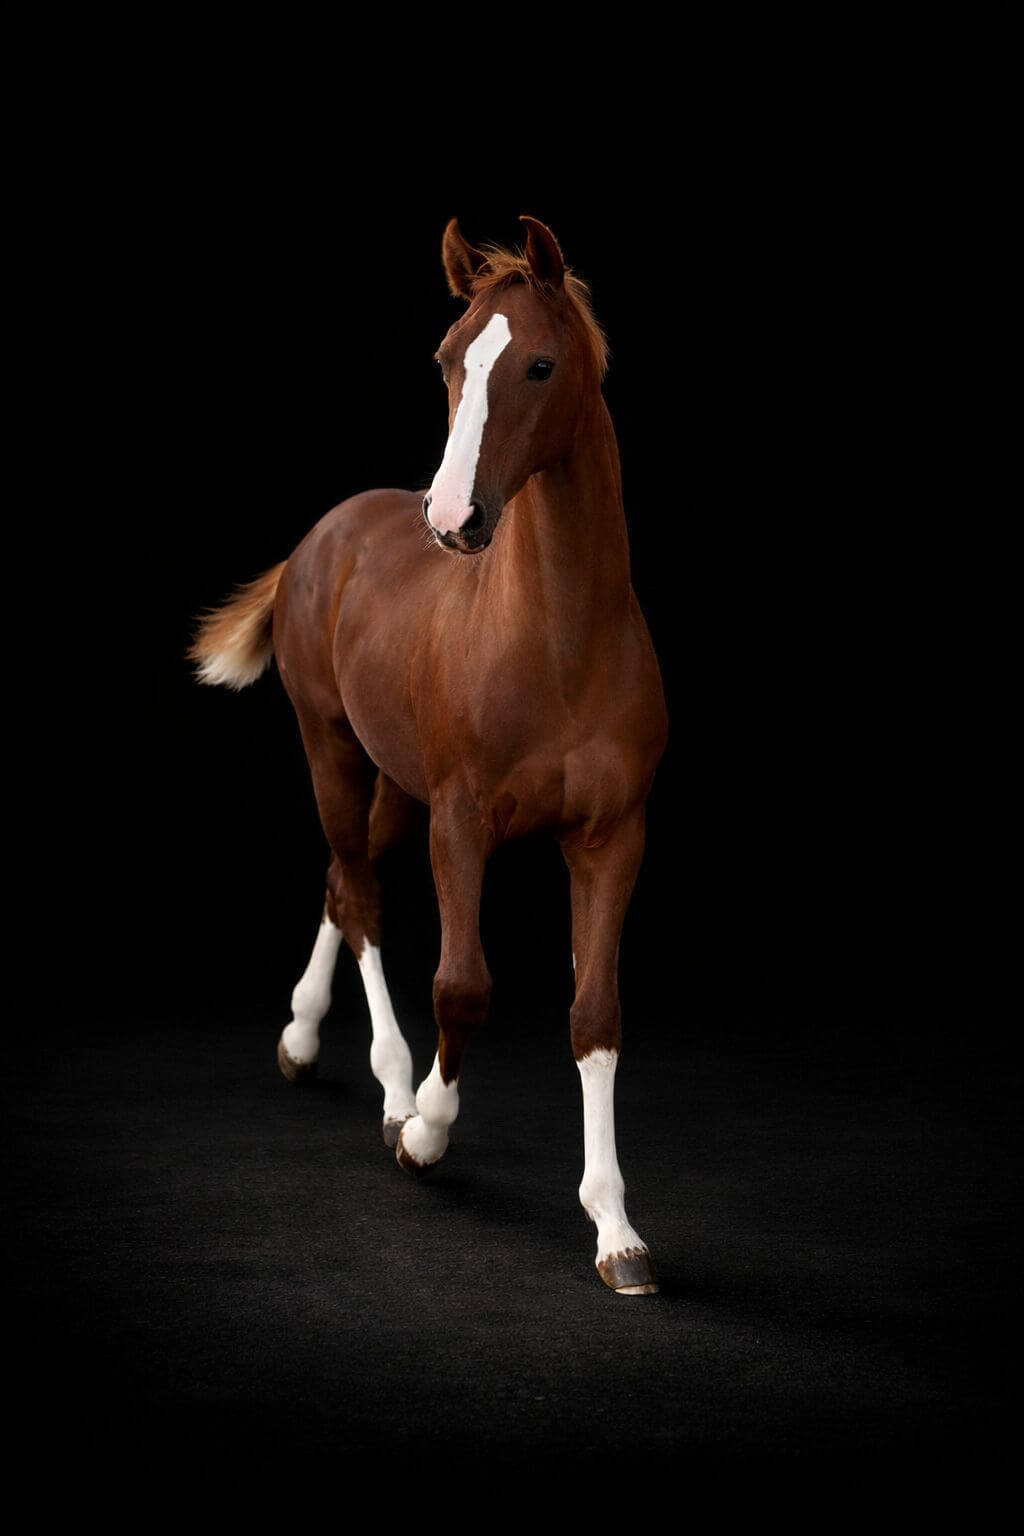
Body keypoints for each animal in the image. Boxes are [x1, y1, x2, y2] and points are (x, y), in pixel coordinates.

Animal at [190, 215, 668, 1295]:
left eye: (539, 365)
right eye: (448, 360)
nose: (453, 521)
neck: (558, 641)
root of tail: (323, 535)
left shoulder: (610, 838)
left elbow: (595, 1012)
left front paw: (616, 1229)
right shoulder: (463, 822)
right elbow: (464, 986)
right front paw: (426, 1134)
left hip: (395, 785)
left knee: (344, 879)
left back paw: (300, 1034)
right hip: (330, 749)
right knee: (361, 895)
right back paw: (389, 1085)